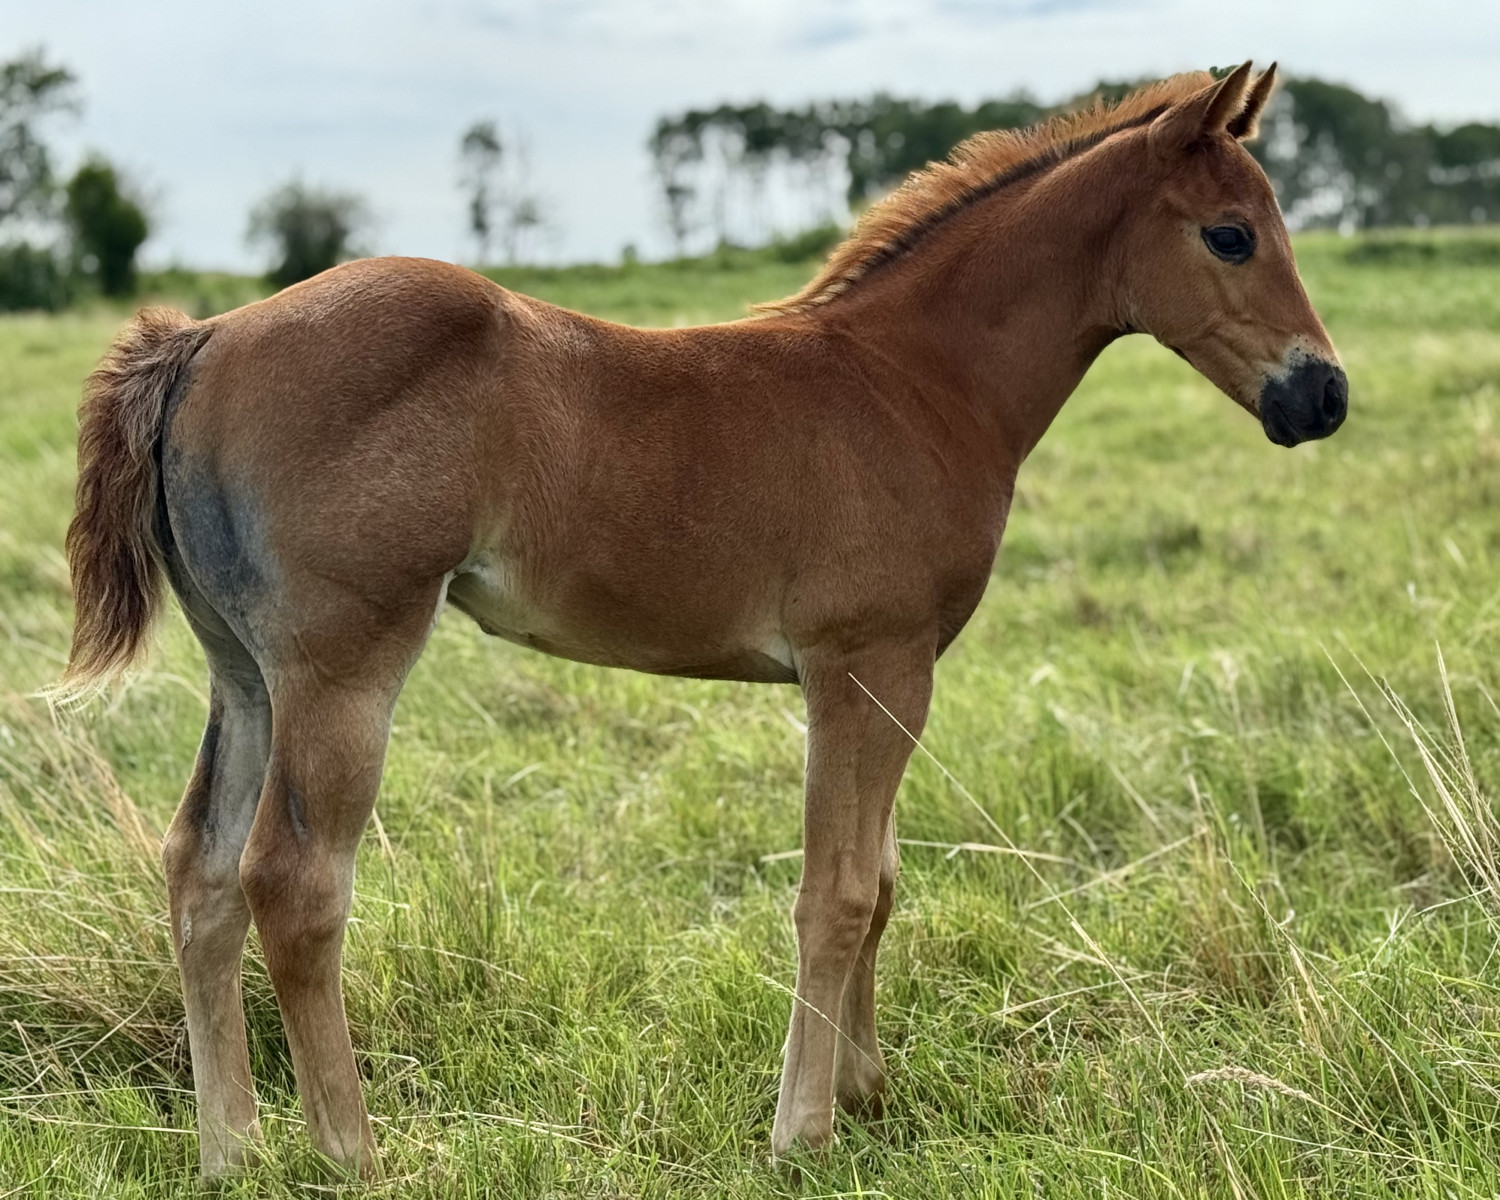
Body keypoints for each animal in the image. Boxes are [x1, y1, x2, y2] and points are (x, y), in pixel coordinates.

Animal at [53, 62, 1346, 1176]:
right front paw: (804, 1131)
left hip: (245, 674)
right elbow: (837, 891)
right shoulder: (868, 665)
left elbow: (879, 881)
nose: (1321, 396)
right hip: (343, 667)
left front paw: (867, 1096)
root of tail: (203, 339)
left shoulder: (880, 677)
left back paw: (232, 1152)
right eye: (1231, 233)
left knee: (200, 873)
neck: (913, 385)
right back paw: (352, 1155)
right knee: (295, 883)